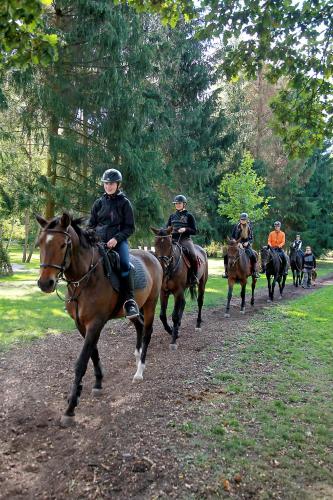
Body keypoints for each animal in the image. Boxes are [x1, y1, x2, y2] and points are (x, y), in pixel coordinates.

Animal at [35, 212, 161, 426]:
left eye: (63, 244)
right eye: (41, 243)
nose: (45, 283)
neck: (85, 279)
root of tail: (152, 256)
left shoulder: (95, 323)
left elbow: (81, 361)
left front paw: (70, 409)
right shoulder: (81, 324)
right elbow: (93, 353)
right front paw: (96, 384)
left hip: (151, 304)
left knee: (147, 332)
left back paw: (140, 370)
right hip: (134, 310)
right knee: (139, 326)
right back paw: (137, 356)